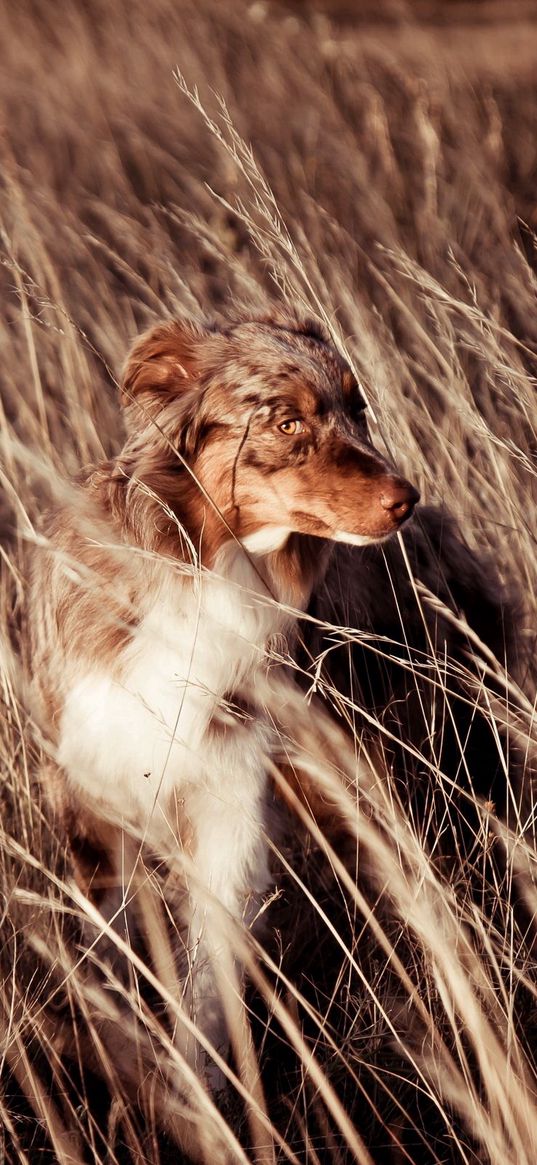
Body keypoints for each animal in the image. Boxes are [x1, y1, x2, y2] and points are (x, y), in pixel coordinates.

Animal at [27, 309, 417, 1081]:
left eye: (356, 409)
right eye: (288, 422)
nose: (407, 500)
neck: (211, 568)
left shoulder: (229, 803)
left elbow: (207, 983)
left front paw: (202, 1086)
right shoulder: (92, 795)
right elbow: (104, 955)